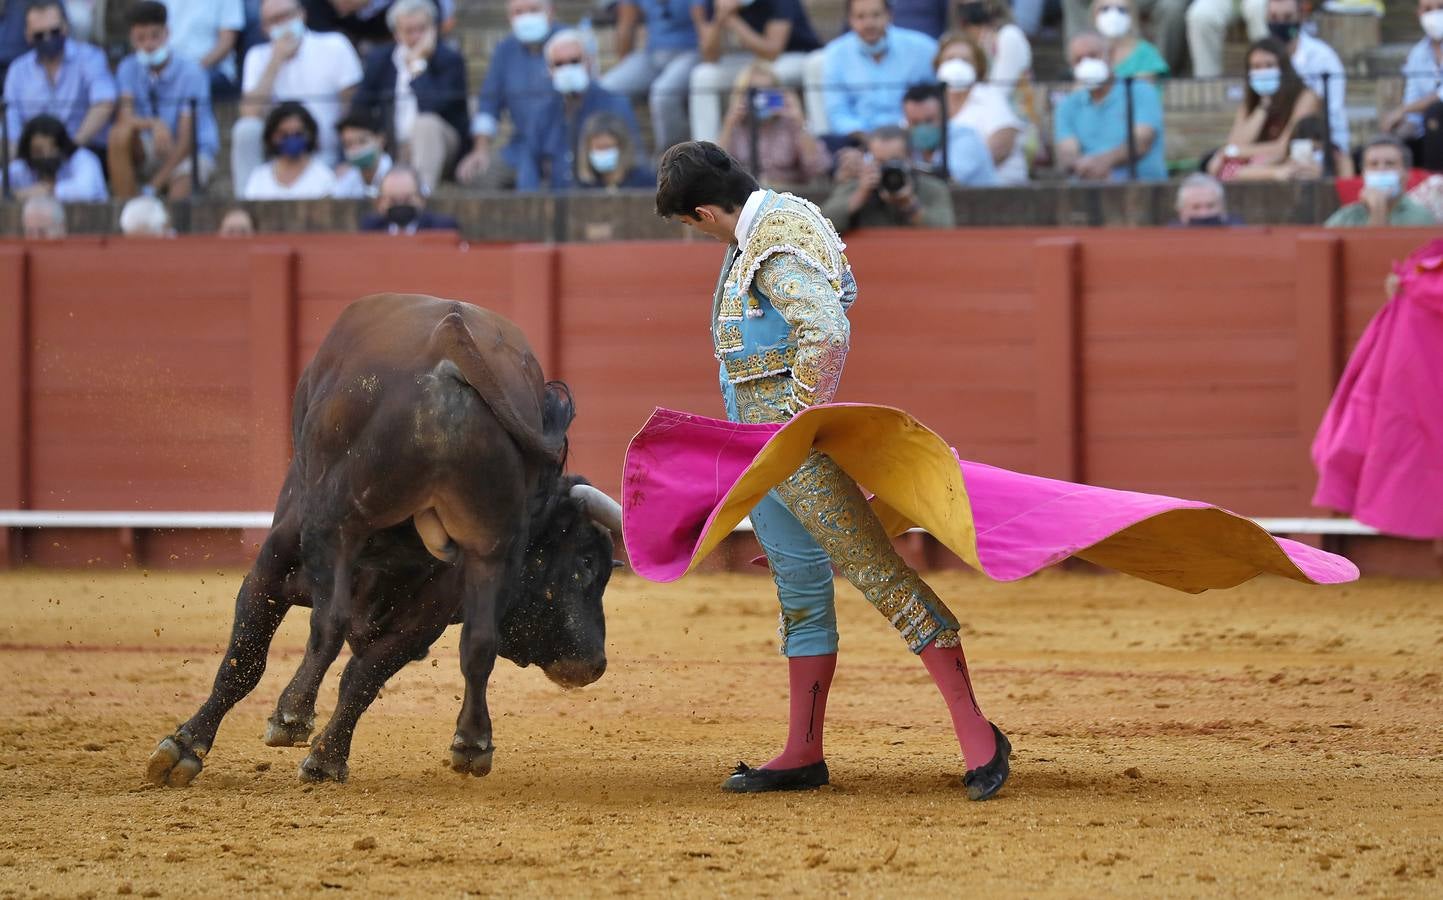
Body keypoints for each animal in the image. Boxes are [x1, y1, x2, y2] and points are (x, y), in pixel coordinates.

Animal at [143, 297, 623, 784]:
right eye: (586, 564)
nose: (594, 664)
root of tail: (450, 339)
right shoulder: (278, 571)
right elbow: (255, 659)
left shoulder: (398, 603)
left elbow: (319, 666)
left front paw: (201, 745)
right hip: (488, 547)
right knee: (477, 641)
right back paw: (471, 744)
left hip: (340, 524)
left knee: (335, 624)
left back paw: (297, 716)